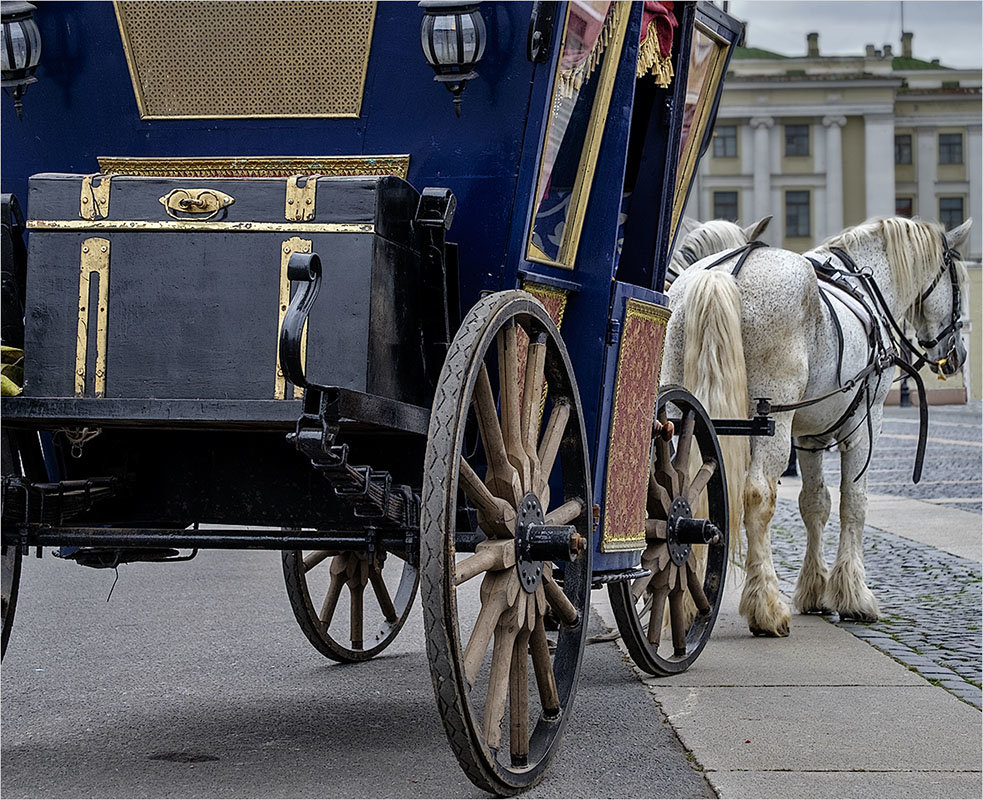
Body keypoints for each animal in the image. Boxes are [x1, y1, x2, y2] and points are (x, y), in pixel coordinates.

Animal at [664, 216, 972, 636]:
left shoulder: (809, 438)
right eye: (960, 280)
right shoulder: (864, 426)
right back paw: (766, 607)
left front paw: (813, 590)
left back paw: (686, 603)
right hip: (773, 420)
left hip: (680, 413)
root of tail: (723, 274)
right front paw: (853, 595)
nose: (958, 355)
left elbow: (815, 504)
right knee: (756, 497)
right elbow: (853, 503)